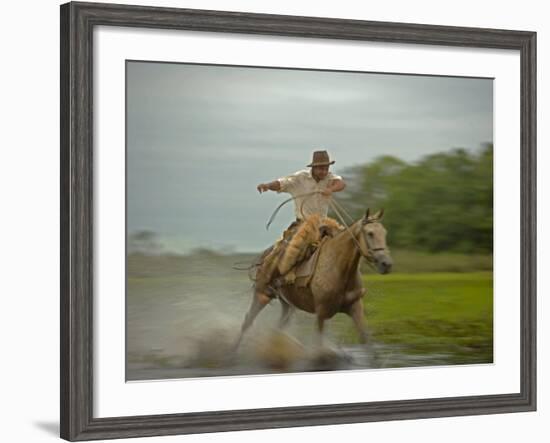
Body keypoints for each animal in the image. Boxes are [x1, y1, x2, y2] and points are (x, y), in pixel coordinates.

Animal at [235, 210, 394, 352]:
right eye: (370, 233)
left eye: (384, 233)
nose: (386, 264)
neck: (338, 269)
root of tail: (266, 254)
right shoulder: (321, 313)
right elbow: (317, 345)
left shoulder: (355, 307)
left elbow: (366, 341)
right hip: (262, 295)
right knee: (247, 322)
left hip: (287, 304)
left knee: (277, 328)